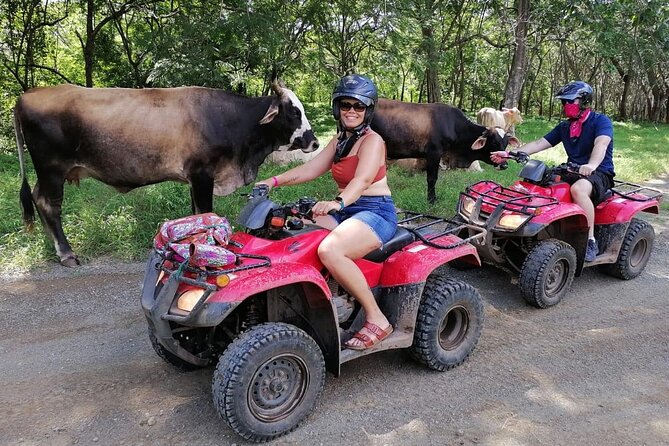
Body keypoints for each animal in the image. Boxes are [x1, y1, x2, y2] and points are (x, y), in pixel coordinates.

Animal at [14, 83, 318, 264]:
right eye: (293, 112)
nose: (314, 142)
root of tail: (26, 95)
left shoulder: (194, 179)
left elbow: (195, 213)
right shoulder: (202, 174)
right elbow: (204, 211)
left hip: (48, 173)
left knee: (38, 199)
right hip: (52, 170)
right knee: (49, 205)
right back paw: (66, 253)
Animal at [370, 99, 516, 204]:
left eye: (505, 144)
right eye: (494, 143)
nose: (504, 165)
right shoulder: (434, 153)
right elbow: (432, 178)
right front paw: (432, 200)